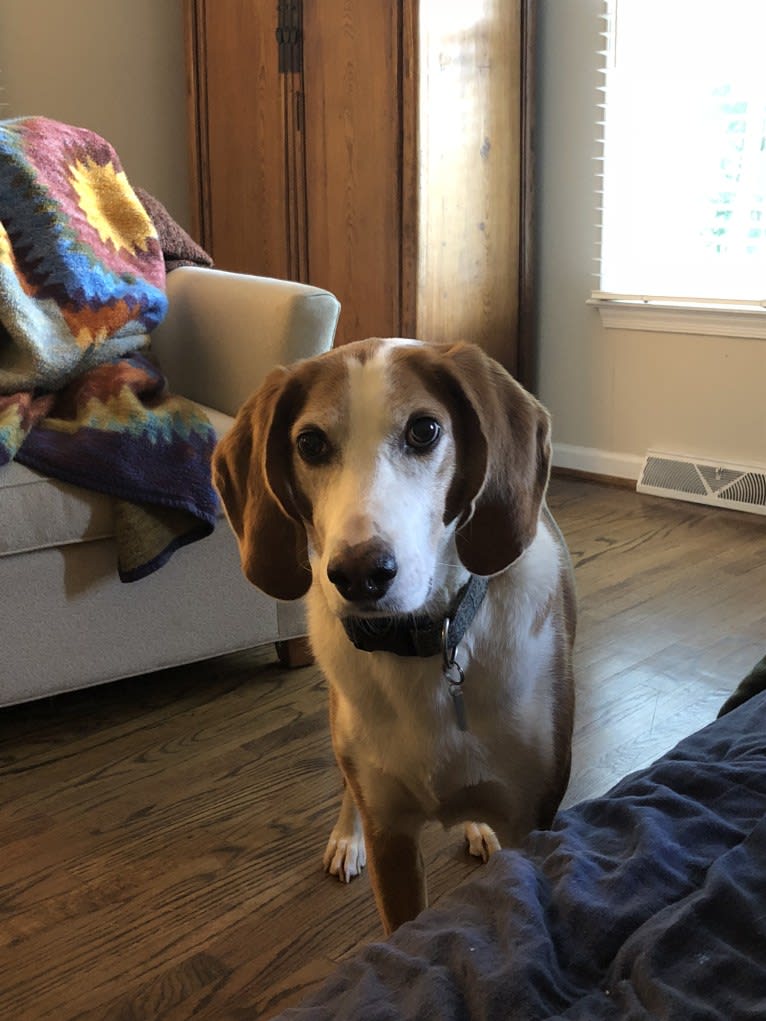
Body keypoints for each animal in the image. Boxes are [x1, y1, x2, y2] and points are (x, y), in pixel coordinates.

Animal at [210, 336, 576, 935]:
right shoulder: (392, 837)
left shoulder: (534, 818)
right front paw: (351, 836)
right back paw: (345, 835)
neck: (427, 643)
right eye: (309, 443)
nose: (359, 573)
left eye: (424, 430)